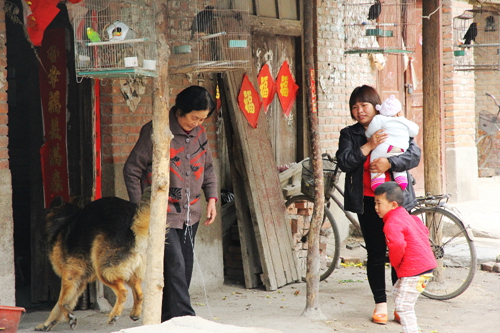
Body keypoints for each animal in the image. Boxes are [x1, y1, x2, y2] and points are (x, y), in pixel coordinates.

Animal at [35, 189, 150, 330]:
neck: (63, 220)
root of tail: (133, 223)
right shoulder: (79, 281)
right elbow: (60, 305)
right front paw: (47, 324)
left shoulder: (70, 276)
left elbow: (61, 302)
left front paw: (69, 317)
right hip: (130, 270)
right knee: (139, 293)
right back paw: (134, 313)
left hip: (104, 270)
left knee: (123, 292)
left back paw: (114, 315)